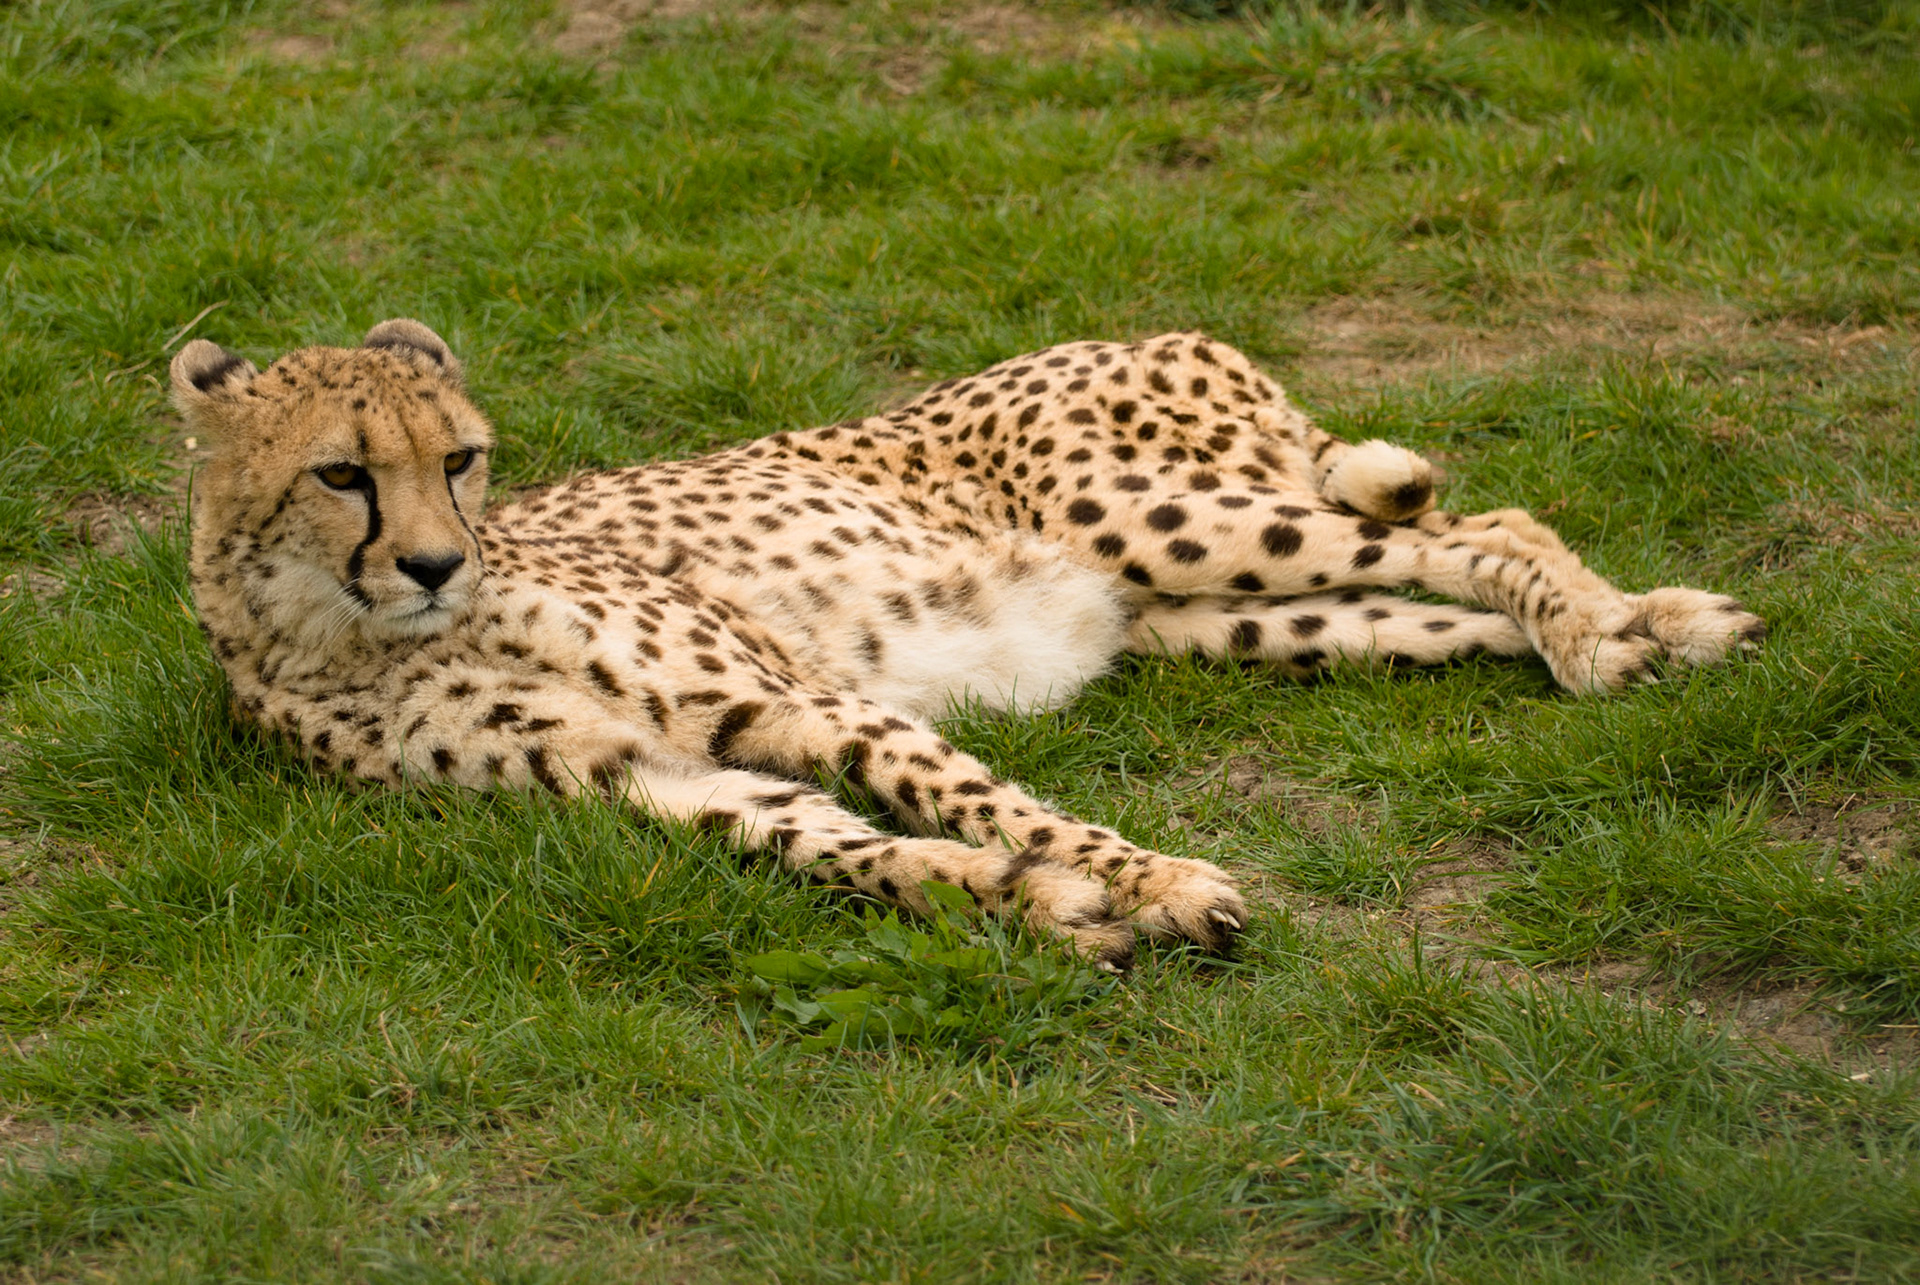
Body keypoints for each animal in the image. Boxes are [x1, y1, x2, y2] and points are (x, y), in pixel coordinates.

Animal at [170, 319, 1766, 969]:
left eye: (464, 458)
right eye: (342, 473)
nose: (439, 560)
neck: (348, 635)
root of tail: (1170, 333)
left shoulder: (797, 695)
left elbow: (969, 794)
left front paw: (1158, 883)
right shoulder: (658, 780)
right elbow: (853, 853)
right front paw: (1044, 907)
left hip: (1170, 519)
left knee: (1492, 525)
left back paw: (1610, 634)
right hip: (1221, 618)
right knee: (1444, 604)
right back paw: (1655, 630)